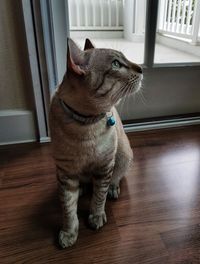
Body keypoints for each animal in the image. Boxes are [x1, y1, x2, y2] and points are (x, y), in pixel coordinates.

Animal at [49, 38, 143, 249]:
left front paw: (96, 217)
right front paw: (69, 233)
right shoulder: (66, 173)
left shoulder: (104, 167)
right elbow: (68, 209)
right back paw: (83, 189)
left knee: (116, 179)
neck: (85, 122)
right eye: (116, 64)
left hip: (123, 156)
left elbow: (99, 197)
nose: (142, 69)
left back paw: (113, 190)